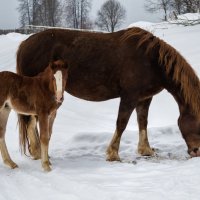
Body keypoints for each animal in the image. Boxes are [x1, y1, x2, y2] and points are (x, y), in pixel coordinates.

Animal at [16, 27, 200, 161]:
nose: (196, 151)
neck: (151, 60)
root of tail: (24, 44)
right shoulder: (129, 96)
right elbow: (121, 123)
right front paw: (113, 154)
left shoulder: (145, 98)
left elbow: (143, 122)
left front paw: (146, 150)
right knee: (31, 121)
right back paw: (38, 153)